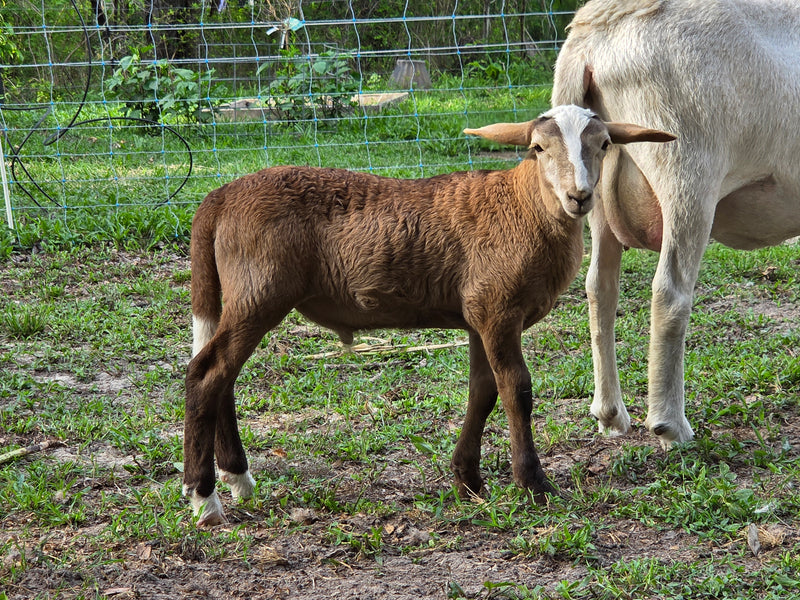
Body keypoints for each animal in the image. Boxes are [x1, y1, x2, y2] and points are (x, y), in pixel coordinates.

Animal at [182, 104, 674, 526]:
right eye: (537, 148)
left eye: (605, 144)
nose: (580, 196)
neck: (523, 206)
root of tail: (220, 197)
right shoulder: (497, 308)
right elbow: (516, 389)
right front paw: (534, 485)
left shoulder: (478, 313)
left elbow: (482, 391)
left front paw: (468, 480)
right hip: (260, 289)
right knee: (207, 374)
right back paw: (204, 497)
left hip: (247, 295)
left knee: (222, 376)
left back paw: (238, 478)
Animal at [551, 0, 800, 447]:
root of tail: (594, 33)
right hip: (687, 167)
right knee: (669, 292)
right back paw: (670, 424)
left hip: (589, 180)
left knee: (599, 287)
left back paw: (610, 413)